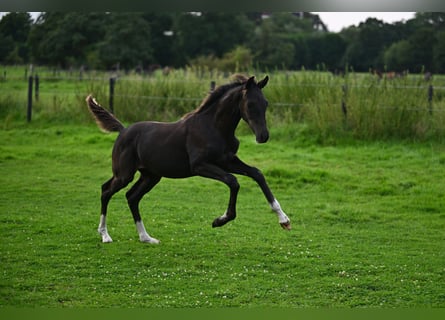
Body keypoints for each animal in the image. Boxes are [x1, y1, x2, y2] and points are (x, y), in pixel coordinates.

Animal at [86, 75, 292, 244]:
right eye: (250, 104)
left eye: (266, 103)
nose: (263, 136)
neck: (214, 127)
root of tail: (123, 130)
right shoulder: (200, 166)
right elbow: (233, 181)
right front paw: (220, 220)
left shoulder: (227, 161)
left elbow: (257, 173)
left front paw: (284, 219)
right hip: (124, 174)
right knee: (106, 190)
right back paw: (105, 235)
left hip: (151, 176)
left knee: (132, 196)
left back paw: (146, 238)